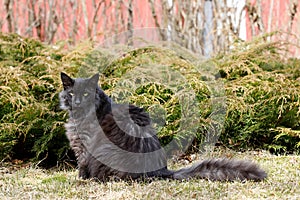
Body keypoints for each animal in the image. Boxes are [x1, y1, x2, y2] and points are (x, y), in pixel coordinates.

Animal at [59, 72, 268, 182]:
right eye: (71, 94)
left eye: (86, 94)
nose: (76, 102)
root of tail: (161, 170)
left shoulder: (85, 147)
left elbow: (82, 165)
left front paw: (80, 180)